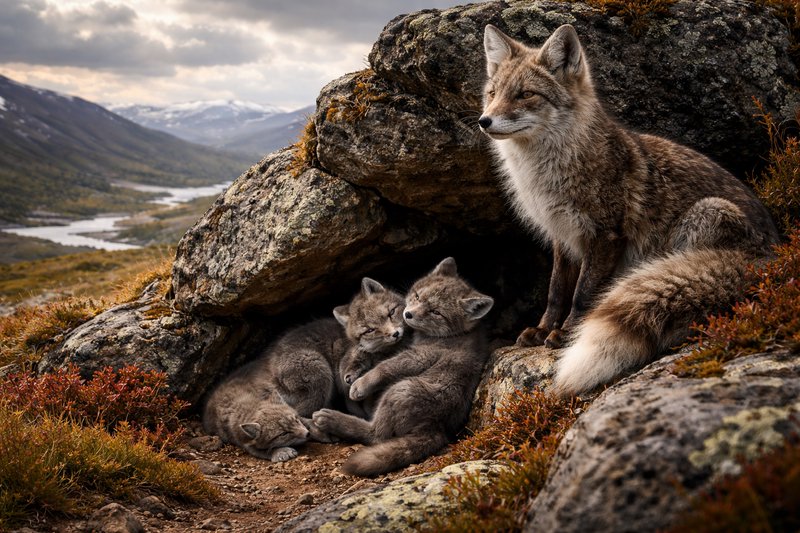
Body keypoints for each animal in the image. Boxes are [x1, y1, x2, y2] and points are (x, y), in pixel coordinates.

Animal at [202, 276, 407, 460]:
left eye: (391, 313)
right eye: (370, 330)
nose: (395, 334)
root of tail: (266, 364)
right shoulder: (345, 364)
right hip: (320, 374)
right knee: (300, 414)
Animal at [312, 257, 494, 477]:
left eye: (436, 312)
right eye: (417, 296)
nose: (408, 314)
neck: (454, 335)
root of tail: (436, 428)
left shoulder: (419, 356)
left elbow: (384, 368)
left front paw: (360, 385)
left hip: (398, 391)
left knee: (375, 435)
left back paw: (331, 419)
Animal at [479, 24, 778, 395]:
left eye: (525, 95)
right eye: (492, 93)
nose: (484, 121)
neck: (549, 174)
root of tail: (776, 252)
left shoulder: (605, 234)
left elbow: (583, 295)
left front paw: (567, 333)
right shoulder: (563, 236)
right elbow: (556, 291)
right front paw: (543, 329)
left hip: (703, 216)